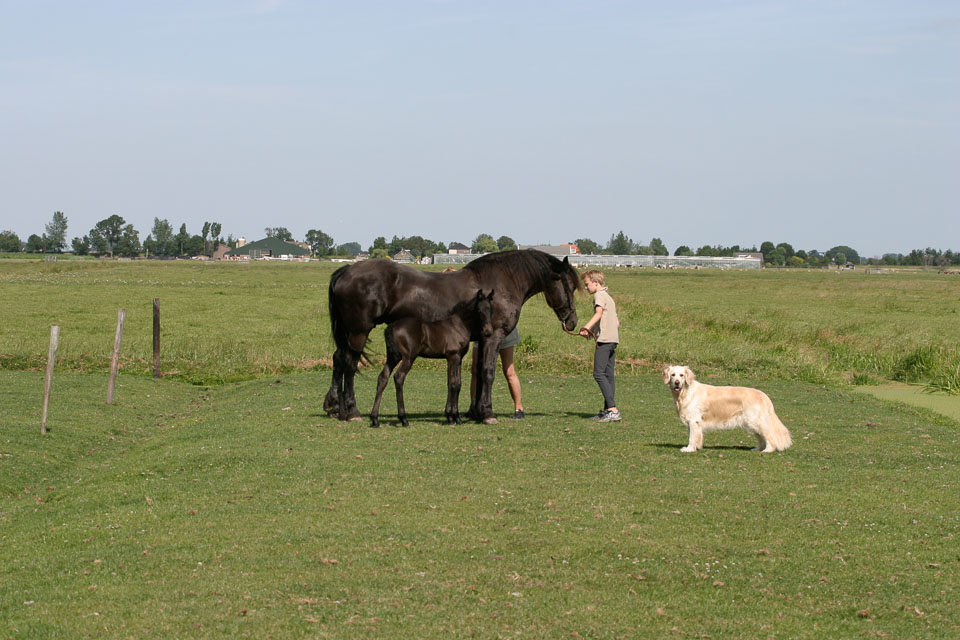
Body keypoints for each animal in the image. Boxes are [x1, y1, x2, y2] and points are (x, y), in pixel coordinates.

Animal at [370, 288, 496, 428]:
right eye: (479, 311)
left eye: (491, 310)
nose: (488, 332)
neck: (459, 326)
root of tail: (392, 326)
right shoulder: (454, 356)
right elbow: (454, 384)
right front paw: (455, 417)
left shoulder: (455, 359)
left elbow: (453, 383)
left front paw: (451, 417)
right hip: (408, 357)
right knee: (399, 377)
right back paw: (403, 419)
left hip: (393, 357)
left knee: (383, 378)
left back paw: (375, 419)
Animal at [664, 368, 792, 452]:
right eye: (673, 375)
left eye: (681, 375)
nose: (677, 383)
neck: (684, 393)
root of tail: (762, 394)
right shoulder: (694, 422)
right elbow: (695, 436)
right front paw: (696, 447)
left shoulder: (694, 420)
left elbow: (692, 437)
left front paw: (689, 449)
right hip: (750, 423)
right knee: (760, 438)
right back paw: (757, 449)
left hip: (755, 421)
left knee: (769, 435)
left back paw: (767, 450)